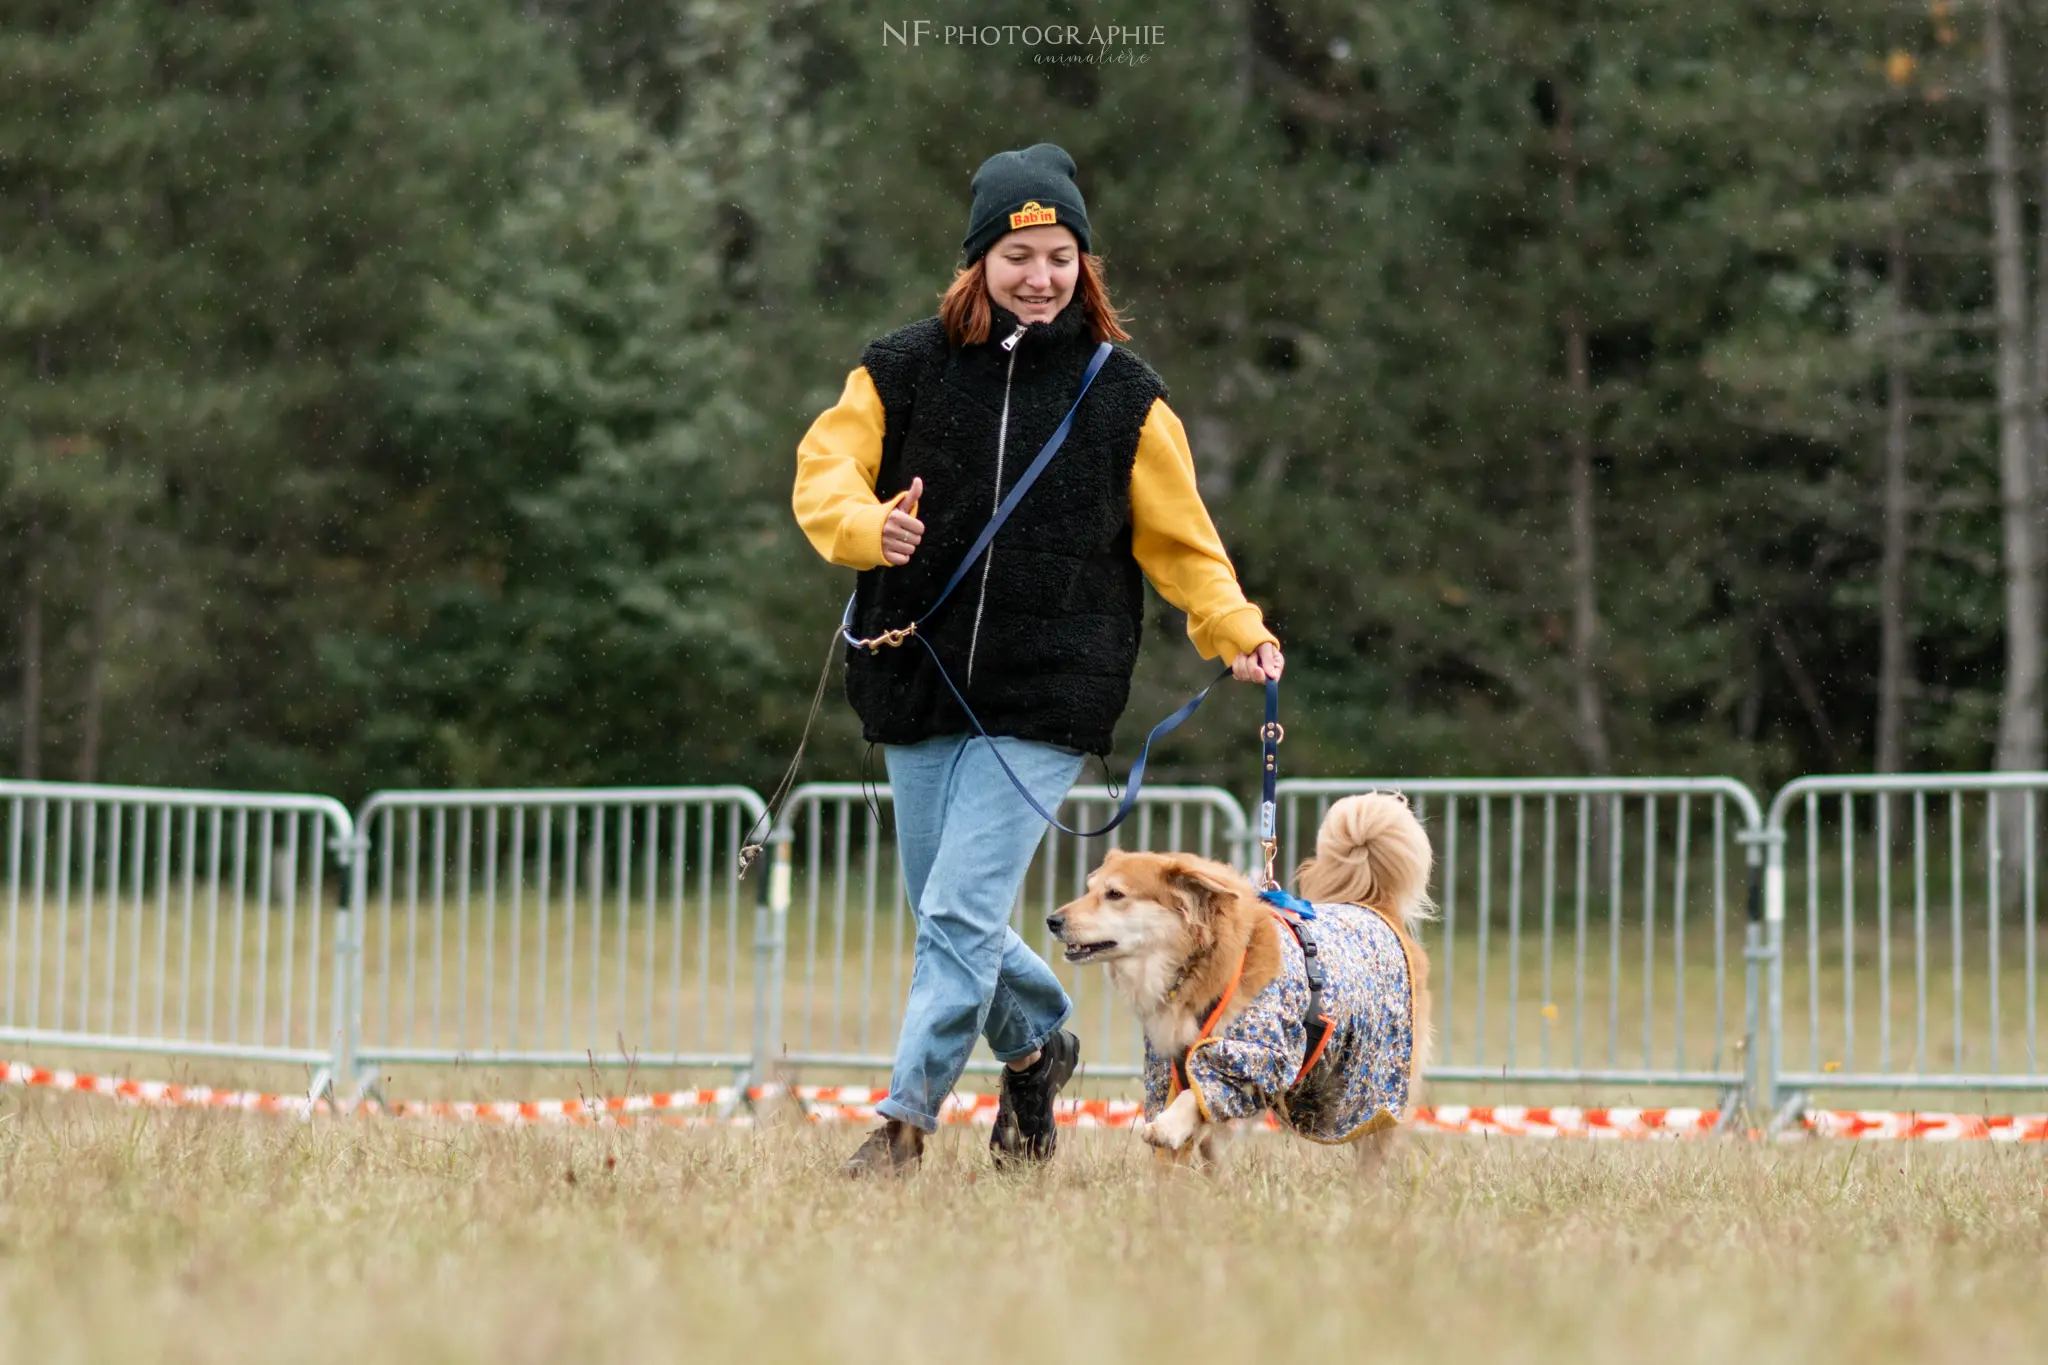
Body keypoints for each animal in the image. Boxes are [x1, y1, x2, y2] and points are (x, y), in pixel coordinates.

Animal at [1048, 794, 1433, 1170]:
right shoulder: (1168, 1064)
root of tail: (1374, 906)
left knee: (1373, 1146)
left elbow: (1199, 1093)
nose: (1052, 920)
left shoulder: (1261, 1054)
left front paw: (1167, 1127)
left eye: (1115, 894)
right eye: (1089, 889)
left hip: (1370, 1082)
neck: (1201, 965)